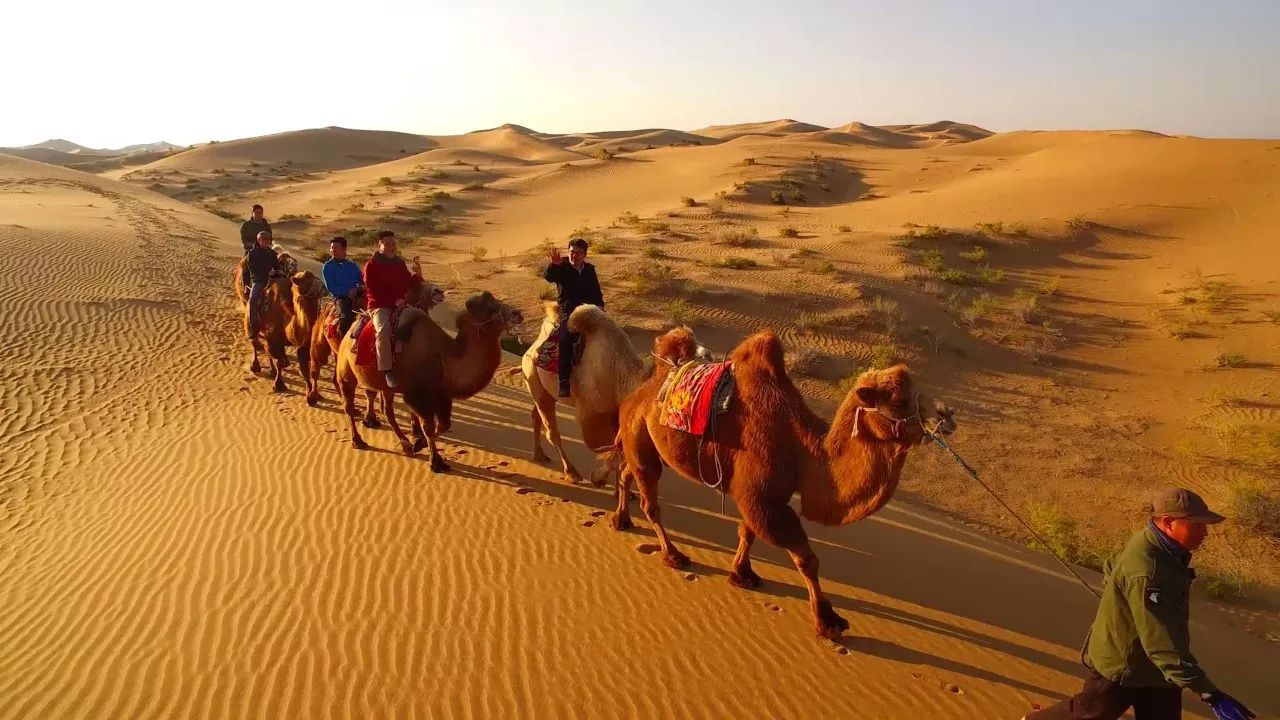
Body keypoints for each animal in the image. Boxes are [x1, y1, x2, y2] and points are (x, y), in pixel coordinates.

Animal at [235, 253, 325, 392]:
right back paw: (255, 366)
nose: (324, 287)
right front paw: (279, 384)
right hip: (248, 309)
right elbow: (279, 361)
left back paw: (271, 370)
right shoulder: (274, 337)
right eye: (306, 282)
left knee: (266, 348)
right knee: (254, 339)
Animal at [304, 275, 445, 420]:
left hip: (339, 352)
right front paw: (370, 418)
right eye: (416, 285)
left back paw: (348, 405)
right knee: (316, 368)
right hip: (319, 341)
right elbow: (370, 391)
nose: (439, 292)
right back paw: (312, 398)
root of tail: (327, 308)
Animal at [340, 289, 524, 471]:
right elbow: (428, 427)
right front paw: (435, 461)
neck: (444, 357)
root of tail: (354, 324)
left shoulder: (442, 395)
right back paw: (358, 441)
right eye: (491, 309)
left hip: (386, 385)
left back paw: (405, 444)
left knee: (387, 409)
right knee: (348, 405)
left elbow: (444, 425)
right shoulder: (416, 396)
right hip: (345, 368)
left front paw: (418, 444)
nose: (518, 314)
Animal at [519, 299, 711, 484]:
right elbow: (608, 449)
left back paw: (540, 455)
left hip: (545, 390)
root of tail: (534, 346)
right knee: (552, 432)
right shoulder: (593, 415)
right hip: (534, 377)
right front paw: (598, 477)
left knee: (536, 415)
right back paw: (571, 472)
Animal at [614, 327, 957, 635]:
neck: (803, 449)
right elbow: (807, 559)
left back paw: (620, 520)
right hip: (639, 436)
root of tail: (640, 391)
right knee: (650, 501)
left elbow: (747, 533)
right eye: (899, 400)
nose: (947, 415)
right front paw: (827, 621)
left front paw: (742, 574)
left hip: (647, 445)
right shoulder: (763, 499)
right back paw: (672, 555)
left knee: (627, 473)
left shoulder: (763, 497)